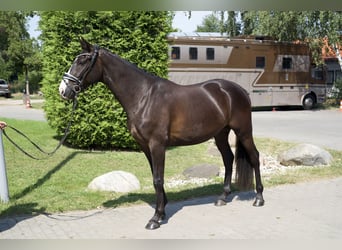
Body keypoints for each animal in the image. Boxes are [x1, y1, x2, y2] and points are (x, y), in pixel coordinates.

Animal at [58, 38, 264, 229]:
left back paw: (259, 198)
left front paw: (155, 218)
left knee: (254, 157)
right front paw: (162, 210)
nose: (63, 90)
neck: (144, 96)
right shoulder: (145, 146)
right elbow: (155, 177)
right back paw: (223, 197)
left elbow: (158, 179)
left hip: (244, 131)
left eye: (83, 61)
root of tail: (239, 90)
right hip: (220, 134)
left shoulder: (157, 145)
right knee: (228, 159)